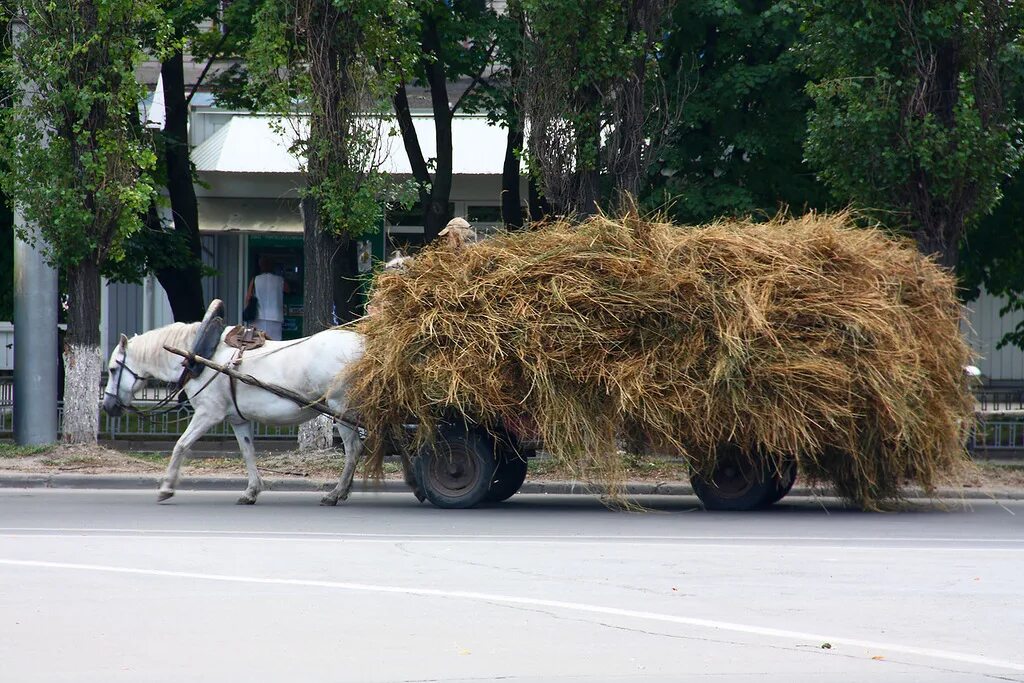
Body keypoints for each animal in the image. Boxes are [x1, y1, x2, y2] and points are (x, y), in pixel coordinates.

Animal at [98, 323, 368, 505]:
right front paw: (251, 491)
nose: (108, 406)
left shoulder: (207, 414)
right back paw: (343, 491)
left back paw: (335, 493)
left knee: (353, 449)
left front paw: (166, 487)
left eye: (112, 370)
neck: (200, 356)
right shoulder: (238, 420)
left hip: (340, 408)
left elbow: (181, 445)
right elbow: (247, 452)